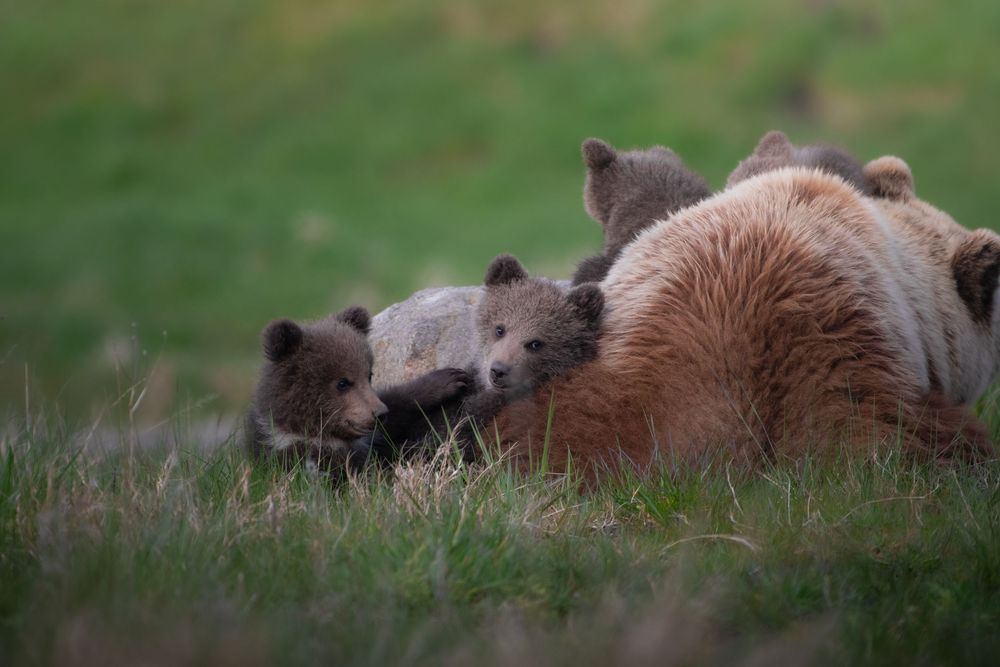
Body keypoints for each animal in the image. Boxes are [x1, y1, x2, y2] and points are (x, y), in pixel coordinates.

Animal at [246, 306, 473, 479]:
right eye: (342, 383)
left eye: (369, 375)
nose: (379, 413)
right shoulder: (307, 457)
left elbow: (397, 405)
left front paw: (449, 379)